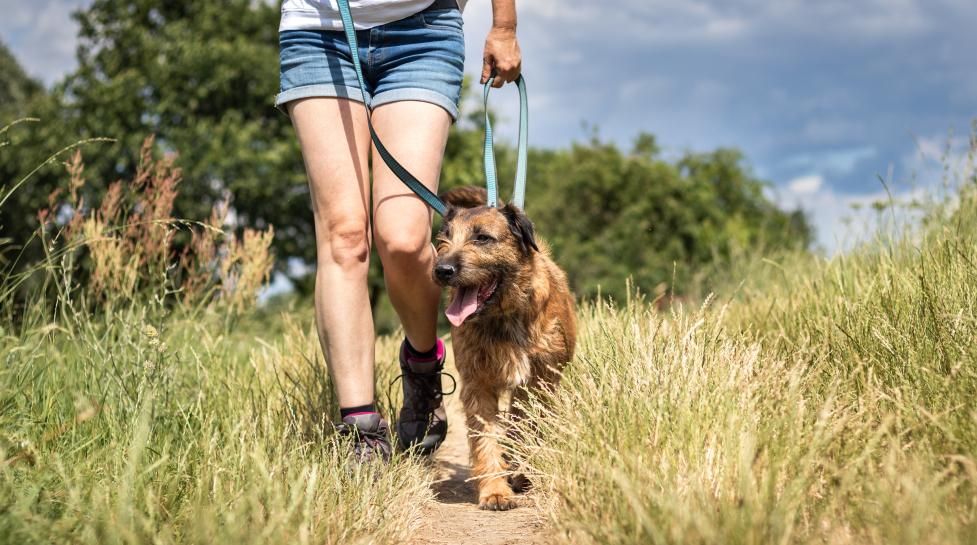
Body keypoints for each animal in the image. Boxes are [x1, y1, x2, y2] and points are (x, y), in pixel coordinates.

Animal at [432, 187, 576, 510]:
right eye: (444, 238)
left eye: (483, 238)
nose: (442, 270)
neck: (504, 316)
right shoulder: (478, 384)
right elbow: (486, 438)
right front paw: (495, 491)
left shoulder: (539, 382)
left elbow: (526, 427)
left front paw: (519, 472)